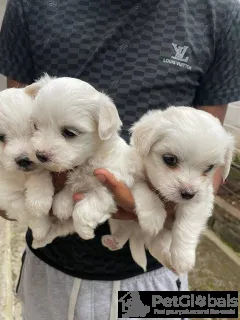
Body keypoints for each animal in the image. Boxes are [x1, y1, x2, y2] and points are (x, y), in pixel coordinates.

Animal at [0, 86, 54, 239]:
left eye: (34, 128)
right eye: (1, 137)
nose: (23, 159)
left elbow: (39, 173)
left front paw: (39, 199)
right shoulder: (7, 194)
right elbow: (24, 210)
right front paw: (41, 228)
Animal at [26, 75, 133, 248]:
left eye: (69, 133)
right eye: (35, 126)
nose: (40, 155)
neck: (85, 162)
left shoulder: (110, 186)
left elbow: (84, 209)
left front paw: (84, 231)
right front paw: (48, 202)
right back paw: (39, 238)